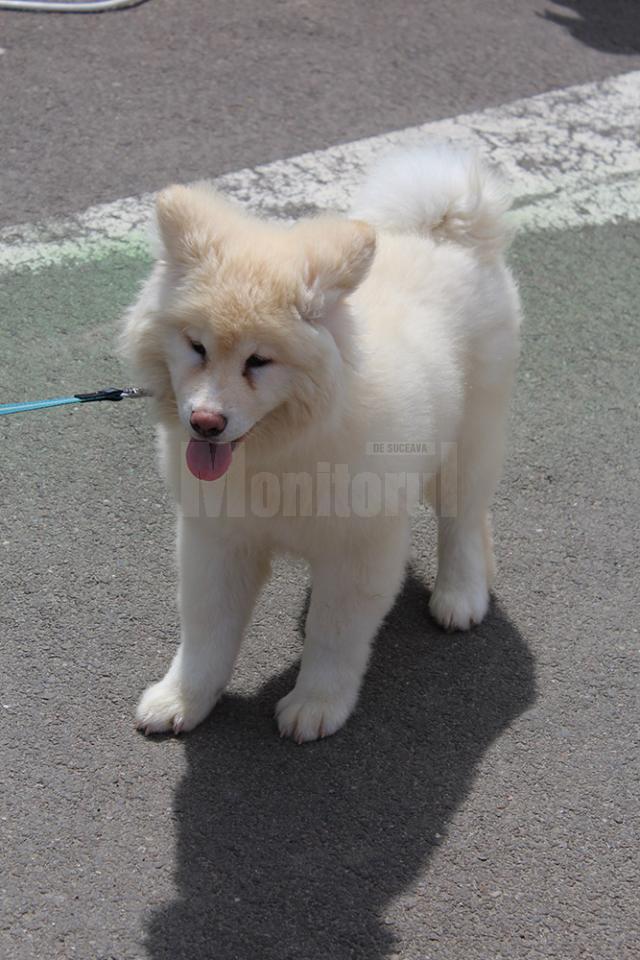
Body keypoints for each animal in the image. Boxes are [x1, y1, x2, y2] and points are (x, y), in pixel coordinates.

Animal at [124, 144, 520, 744]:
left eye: (258, 361)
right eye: (196, 347)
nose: (206, 422)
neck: (278, 453)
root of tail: (448, 226)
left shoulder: (358, 546)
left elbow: (334, 634)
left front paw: (316, 705)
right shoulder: (217, 538)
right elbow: (206, 632)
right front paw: (182, 700)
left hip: (472, 434)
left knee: (463, 517)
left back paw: (461, 593)